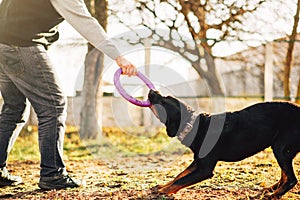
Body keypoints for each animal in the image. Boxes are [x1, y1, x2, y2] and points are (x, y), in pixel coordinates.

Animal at [148, 90, 300, 198]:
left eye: (163, 102)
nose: (152, 91)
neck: (194, 125)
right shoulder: (197, 162)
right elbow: (179, 176)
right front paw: (162, 186)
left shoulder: (205, 169)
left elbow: (182, 180)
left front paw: (162, 191)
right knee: (285, 176)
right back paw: (270, 189)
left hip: (281, 148)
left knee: (291, 179)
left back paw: (272, 195)